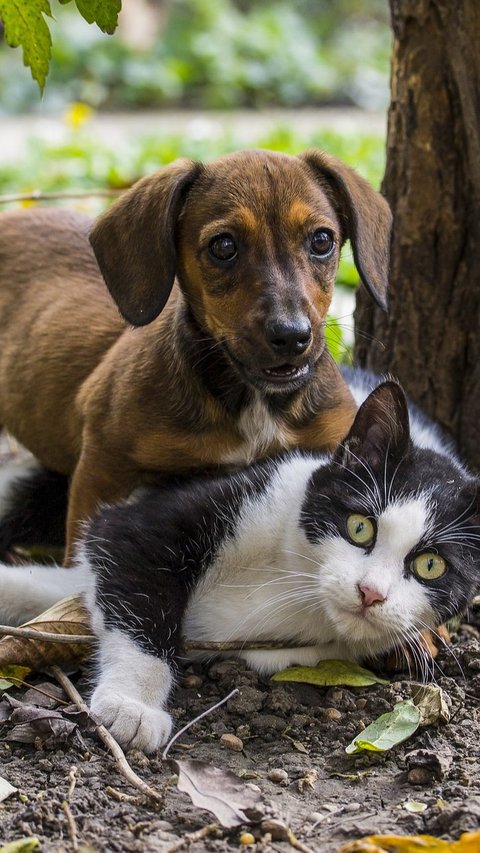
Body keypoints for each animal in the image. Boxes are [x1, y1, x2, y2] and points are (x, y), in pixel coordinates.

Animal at [0, 370, 478, 748]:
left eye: (431, 565)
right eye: (359, 526)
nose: (370, 592)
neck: (292, 580)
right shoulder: (159, 517)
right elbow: (135, 579)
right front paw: (132, 705)